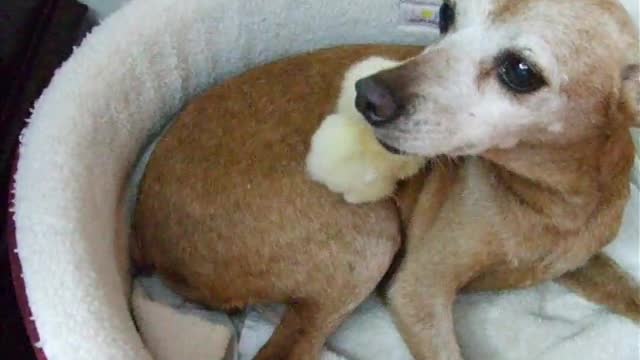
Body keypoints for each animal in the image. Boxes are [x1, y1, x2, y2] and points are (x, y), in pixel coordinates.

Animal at [132, 1, 636, 358]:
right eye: (447, 13)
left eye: (520, 71)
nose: (365, 94)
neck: (549, 202)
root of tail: (144, 230)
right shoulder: (418, 293)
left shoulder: (579, 263)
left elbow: (629, 291)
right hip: (371, 238)